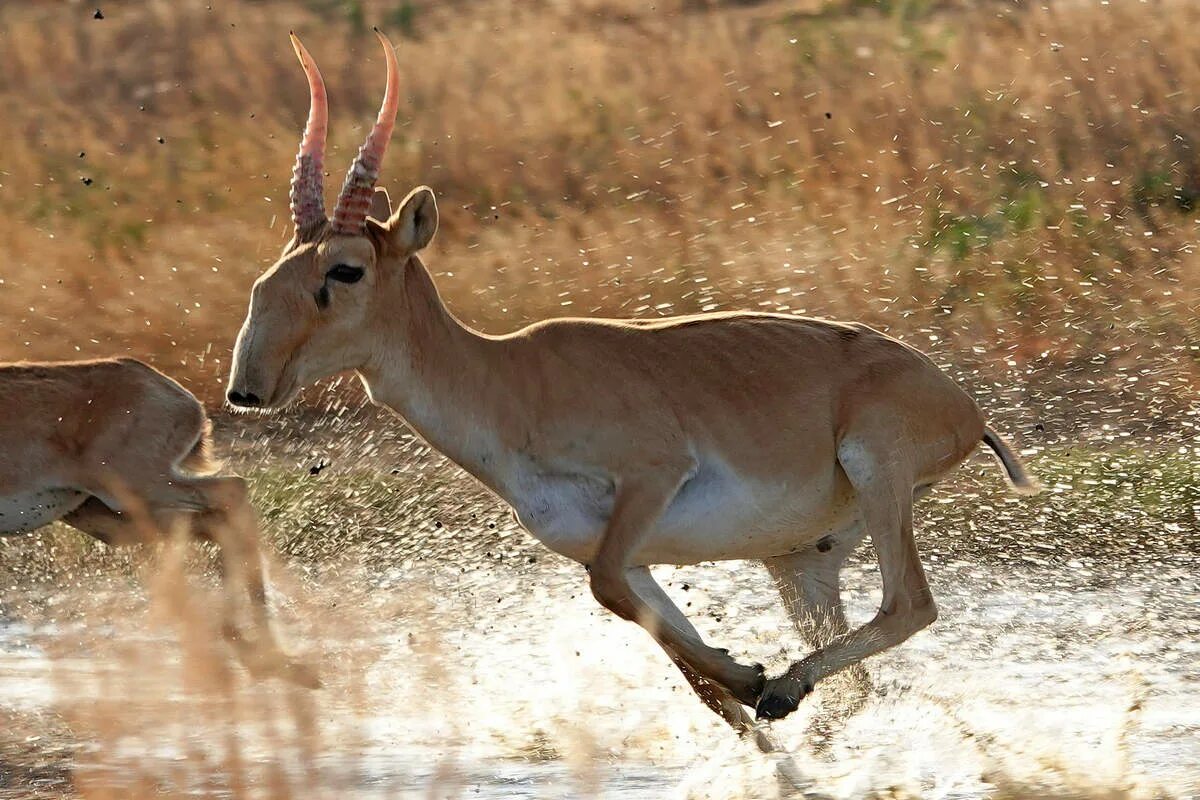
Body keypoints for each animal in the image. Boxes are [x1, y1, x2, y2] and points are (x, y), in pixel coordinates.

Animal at [0, 357, 314, 690]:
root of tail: (185, 400)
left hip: (137, 490)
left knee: (232, 490)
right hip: (108, 515)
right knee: (219, 517)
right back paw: (265, 656)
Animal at [229, 31, 1036, 734]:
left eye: (345, 269)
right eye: (283, 261)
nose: (246, 388)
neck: (509, 383)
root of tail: (963, 405)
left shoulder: (653, 478)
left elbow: (618, 599)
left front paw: (755, 679)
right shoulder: (626, 550)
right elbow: (677, 659)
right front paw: (745, 688)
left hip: (877, 472)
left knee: (911, 605)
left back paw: (787, 686)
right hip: (801, 559)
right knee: (864, 681)